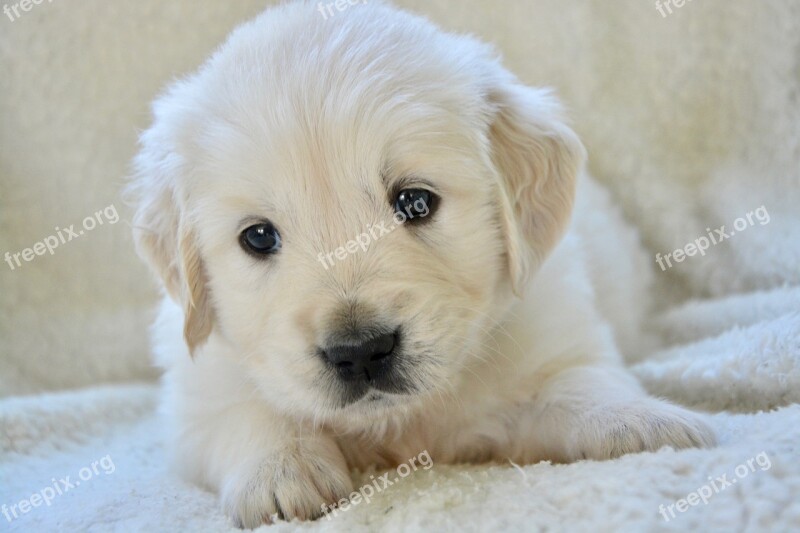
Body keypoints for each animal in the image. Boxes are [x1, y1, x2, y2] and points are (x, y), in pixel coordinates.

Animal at [128, 1, 716, 528]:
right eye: (257, 236)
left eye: (415, 203)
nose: (359, 351)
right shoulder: (198, 392)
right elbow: (248, 411)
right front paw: (282, 471)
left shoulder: (554, 339)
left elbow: (582, 386)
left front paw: (643, 423)